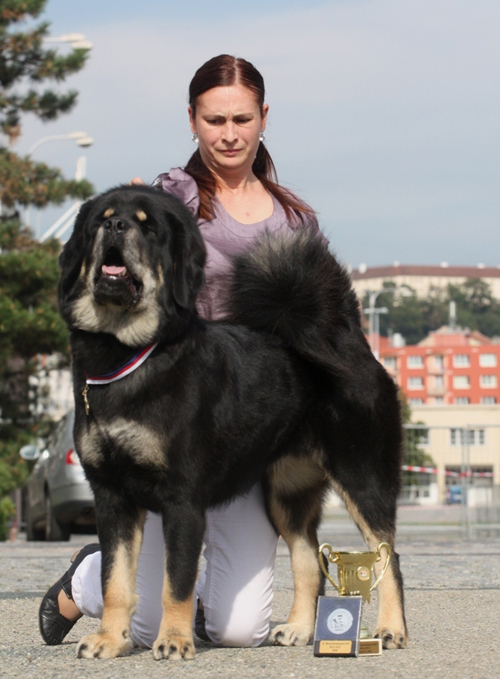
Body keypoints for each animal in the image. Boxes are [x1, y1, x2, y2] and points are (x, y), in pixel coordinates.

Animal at [58, 185, 408, 660]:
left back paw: (390, 629)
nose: (116, 226)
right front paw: (110, 640)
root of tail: (351, 339)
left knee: (387, 557)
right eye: (101, 219)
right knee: (308, 560)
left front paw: (174, 640)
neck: (124, 354)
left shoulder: (182, 499)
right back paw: (301, 629)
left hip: (363, 478)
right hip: (286, 496)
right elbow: (115, 580)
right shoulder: (111, 496)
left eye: (149, 228)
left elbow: (177, 582)